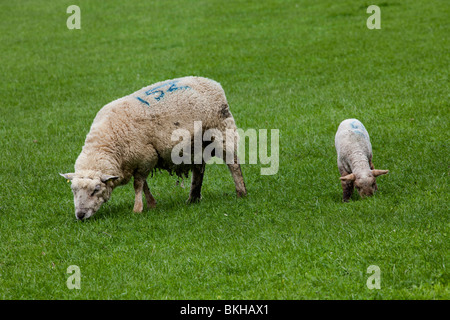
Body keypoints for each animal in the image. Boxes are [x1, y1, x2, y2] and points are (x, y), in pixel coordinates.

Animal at [60, 76, 246, 220]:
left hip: (222, 131)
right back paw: (193, 198)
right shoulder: (138, 161)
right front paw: (151, 204)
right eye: (73, 190)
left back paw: (241, 192)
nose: (80, 215)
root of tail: (211, 82)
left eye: (96, 190)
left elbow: (138, 185)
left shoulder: (146, 157)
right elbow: (144, 185)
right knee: (199, 170)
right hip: (196, 146)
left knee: (233, 164)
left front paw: (138, 209)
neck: (108, 144)